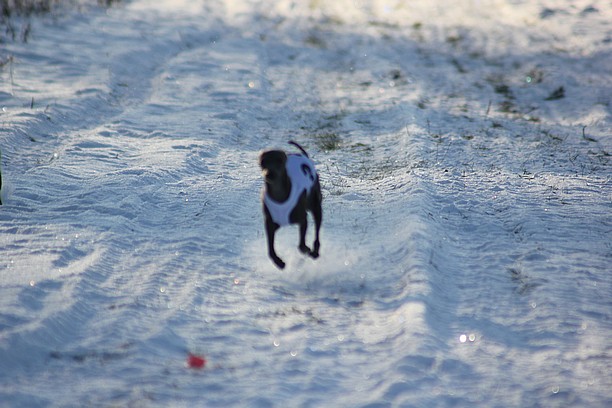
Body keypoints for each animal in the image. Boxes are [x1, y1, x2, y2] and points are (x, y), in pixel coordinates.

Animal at [258, 140, 322, 268]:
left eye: (279, 160)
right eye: (263, 162)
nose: (269, 174)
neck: (279, 197)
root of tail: (303, 155)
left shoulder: (302, 219)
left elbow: (301, 245)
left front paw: (307, 249)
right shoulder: (270, 223)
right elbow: (270, 249)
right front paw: (278, 261)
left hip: (316, 205)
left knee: (317, 231)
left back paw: (315, 251)